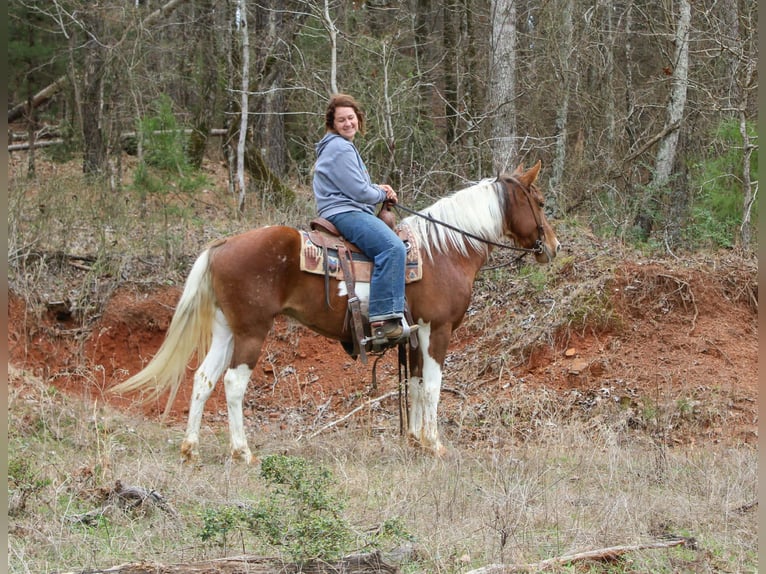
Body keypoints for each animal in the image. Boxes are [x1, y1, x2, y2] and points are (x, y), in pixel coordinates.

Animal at [111, 161, 560, 463]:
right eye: (539, 201)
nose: (554, 247)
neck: (444, 251)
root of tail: (222, 245)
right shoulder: (438, 329)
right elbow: (432, 386)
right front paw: (435, 444)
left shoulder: (415, 333)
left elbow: (414, 385)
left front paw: (416, 440)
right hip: (252, 331)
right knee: (233, 384)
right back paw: (243, 452)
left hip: (227, 328)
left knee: (203, 379)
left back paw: (190, 448)